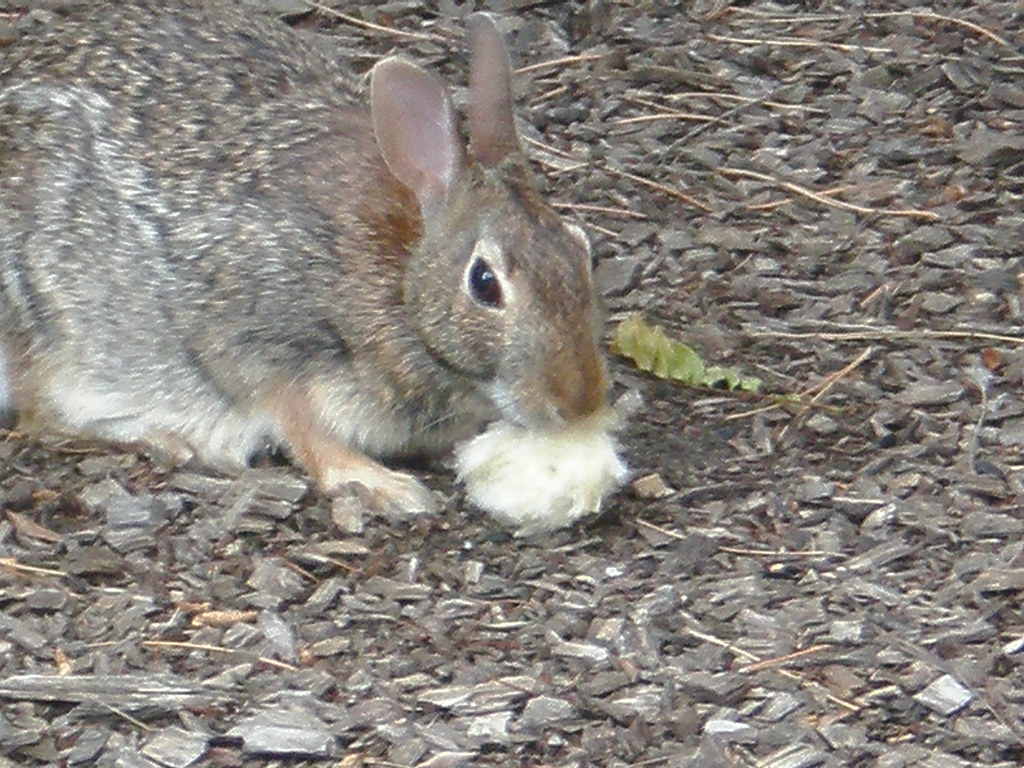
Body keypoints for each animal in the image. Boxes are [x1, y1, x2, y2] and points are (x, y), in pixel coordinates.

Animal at [0, 3, 610, 518]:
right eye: (485, 283)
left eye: (580, 250)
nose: (580, 402)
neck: (402, 276)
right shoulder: (266, 348)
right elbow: (304, 431)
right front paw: (383, 486)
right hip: (46, 322)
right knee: (42, 414)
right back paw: (165, 438)